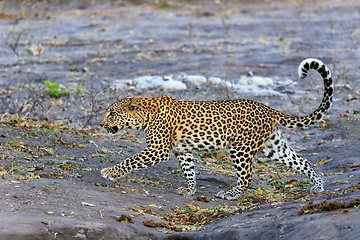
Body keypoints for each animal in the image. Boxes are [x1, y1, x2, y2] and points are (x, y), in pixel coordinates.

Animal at [100, 58, 334, 201]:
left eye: (111, 113)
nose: (101, 124)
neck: (145, 115)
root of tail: (268, 109)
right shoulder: (182, 150)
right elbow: (189, 171)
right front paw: (189, 189)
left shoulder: (158, 150)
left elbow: (131, 161)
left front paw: (110, 173)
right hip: (274, 147)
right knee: (303, 162)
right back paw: (318, 186)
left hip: (241, 149)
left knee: (247, 177)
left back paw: (231, 194)